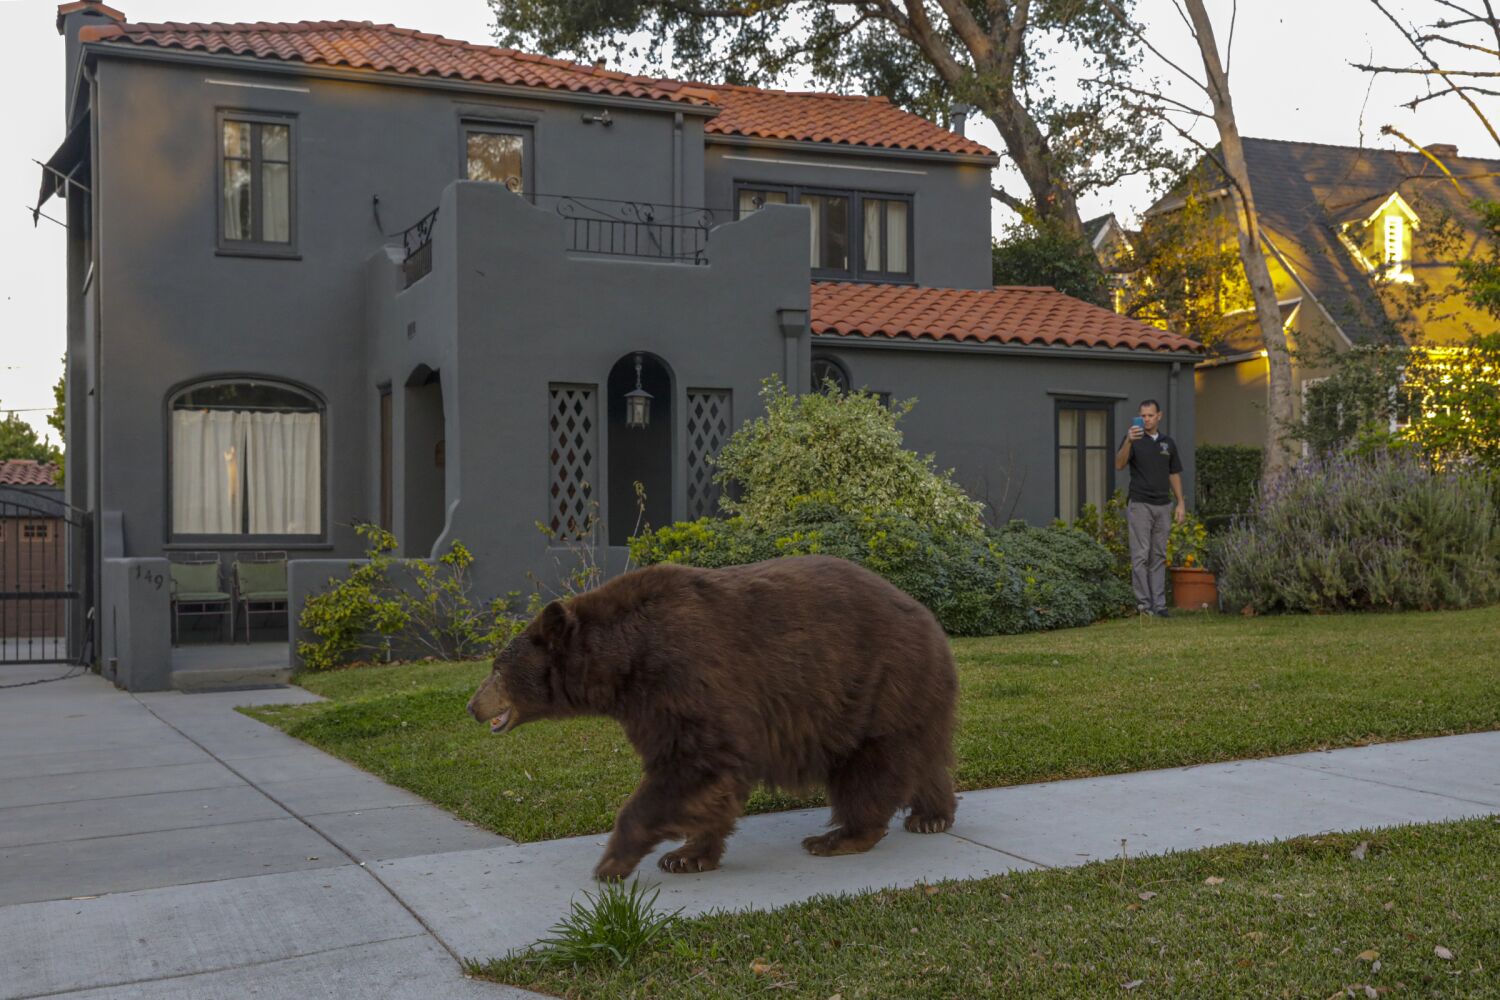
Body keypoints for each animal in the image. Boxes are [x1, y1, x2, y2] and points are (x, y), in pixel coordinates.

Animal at [462, 551, 954, 881]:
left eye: (496, 669)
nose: (472, 706)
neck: (624, 661)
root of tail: (929, 619)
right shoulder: (650, 707)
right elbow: (708, 784)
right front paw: (685, 855)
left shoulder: (684, 678)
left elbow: (694, 766)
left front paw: (611, 862)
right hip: (902, 697)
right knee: (923, 757)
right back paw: (932, 815)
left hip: (876, 686)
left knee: (870, 769)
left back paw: (838, 837)